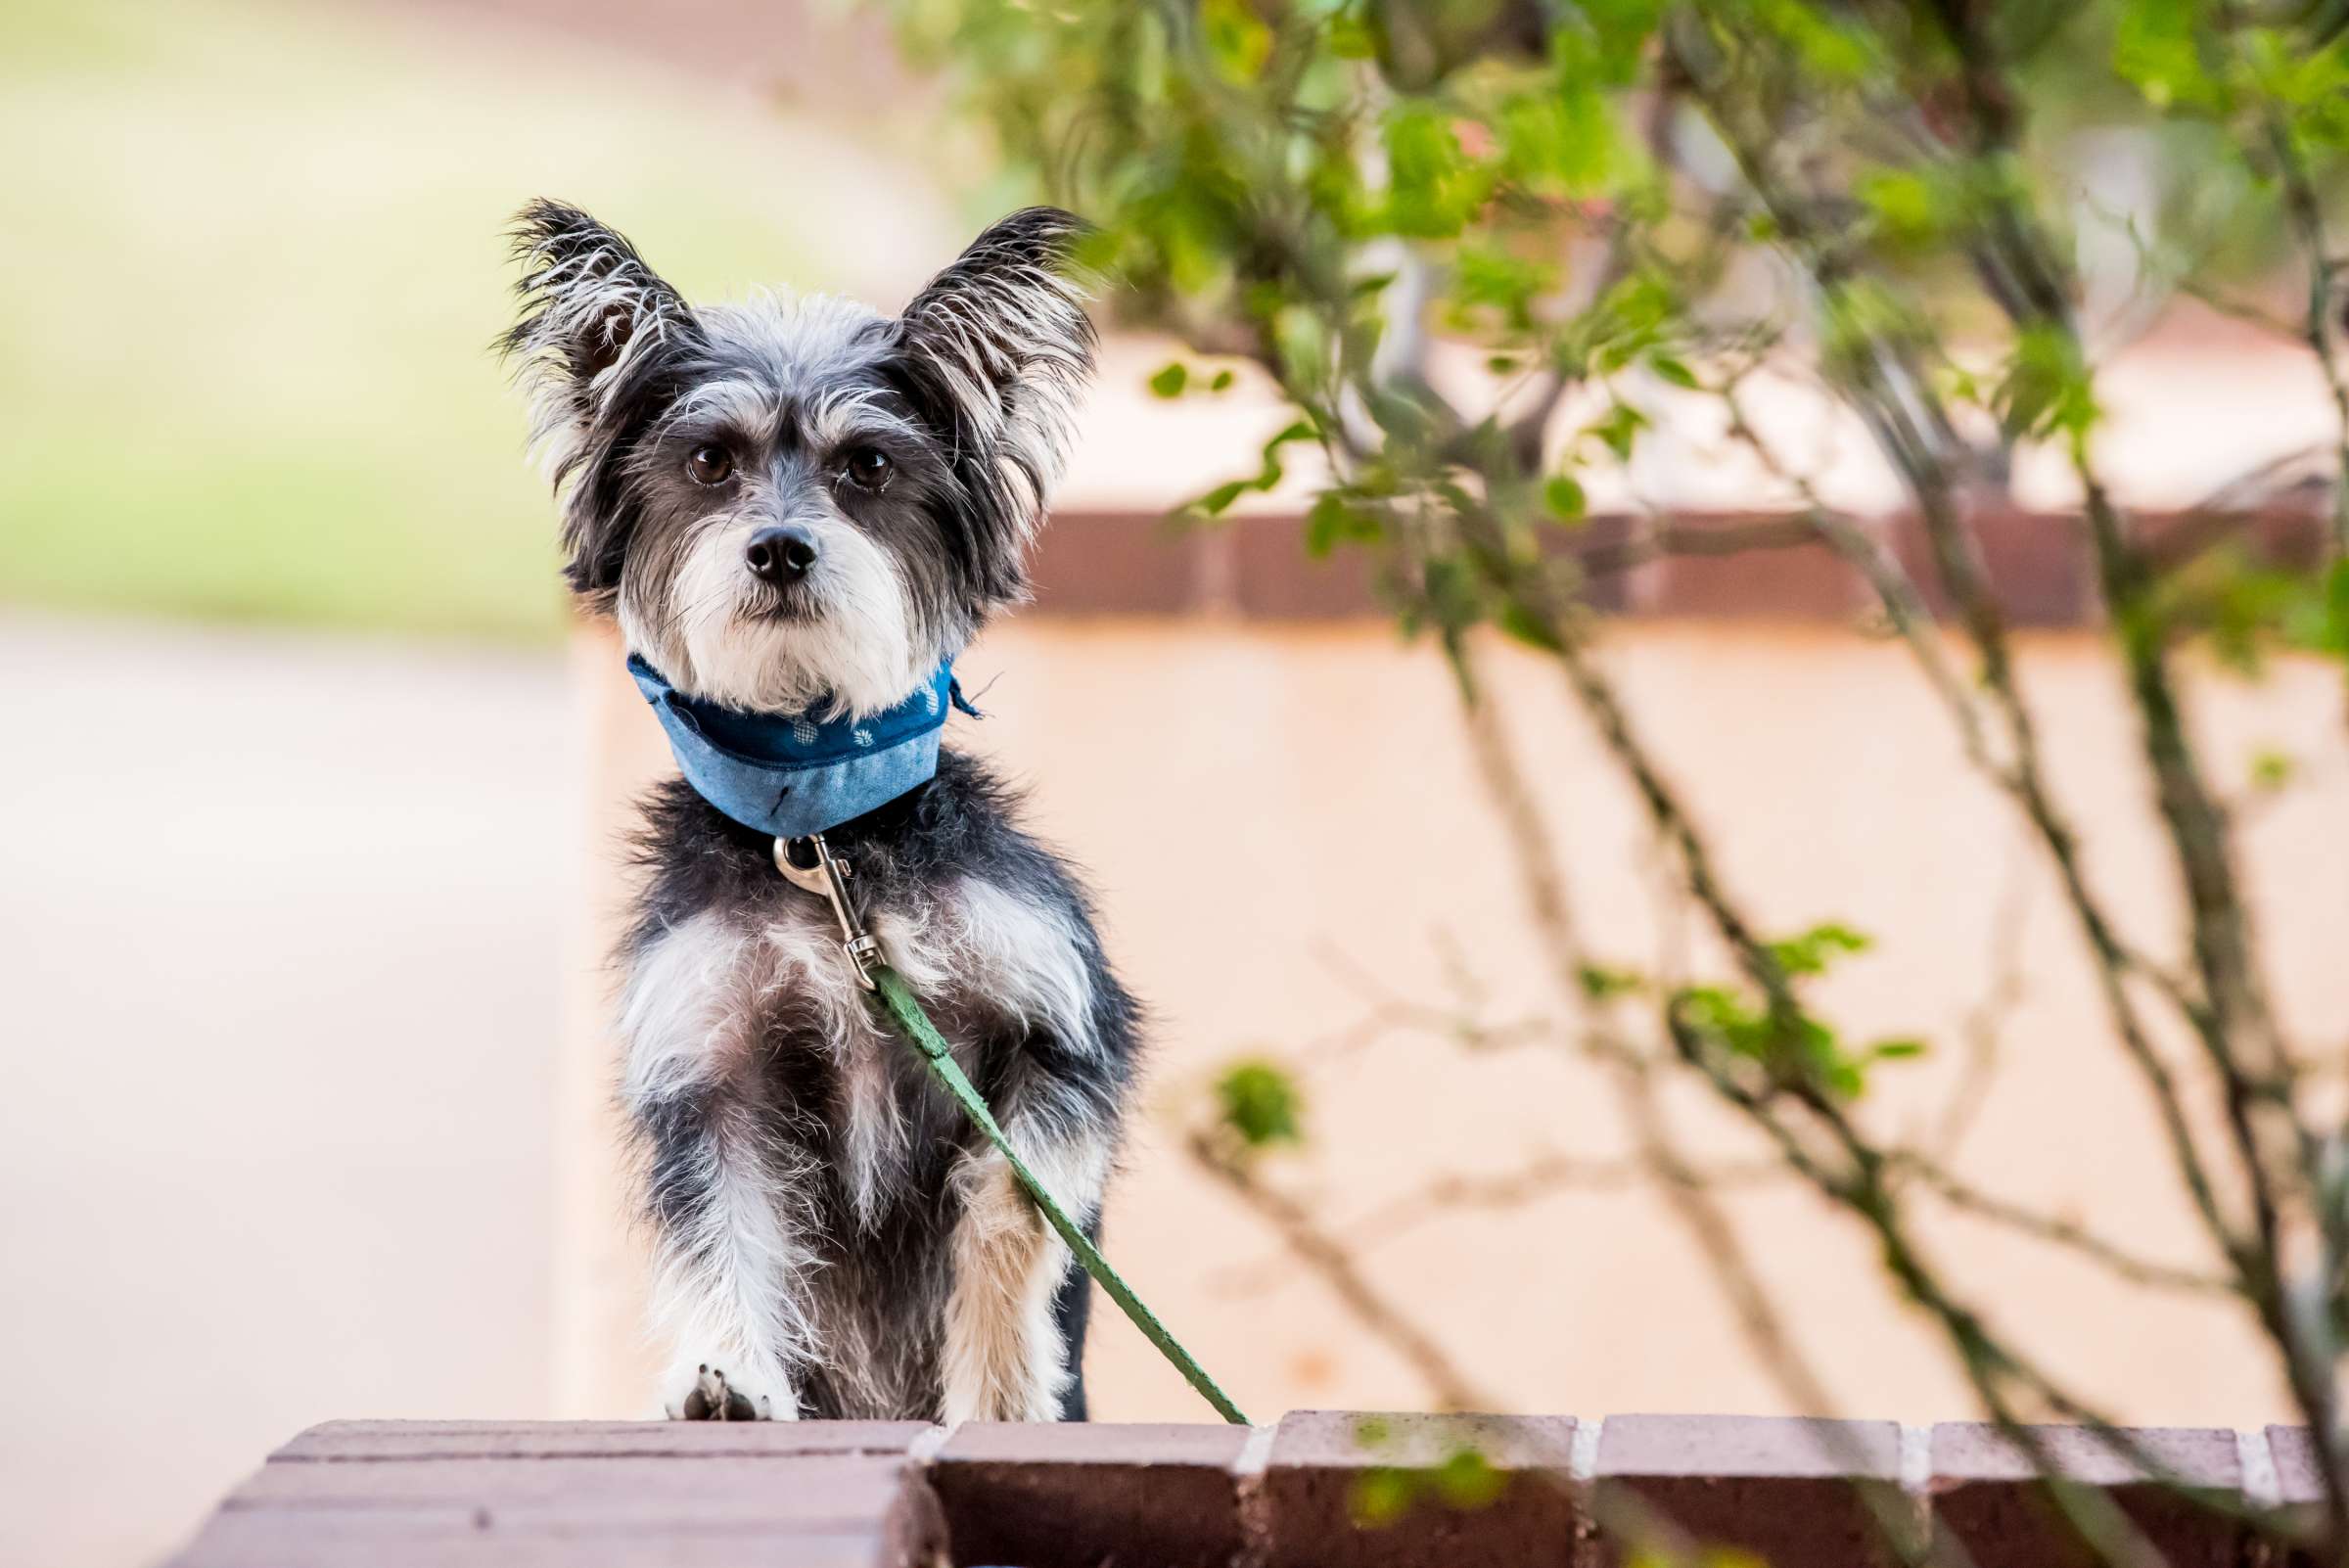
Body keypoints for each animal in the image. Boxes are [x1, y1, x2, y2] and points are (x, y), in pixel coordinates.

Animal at [505, 199, 1136, 1417]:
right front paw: (728, 1379)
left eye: (870, 466)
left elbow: (1007, 1208)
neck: (823, 829)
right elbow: (724, 1231)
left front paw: (999, 1390)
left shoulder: (1066, 1041)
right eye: (709, 461)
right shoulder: (713, 1074)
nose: (781, 549)